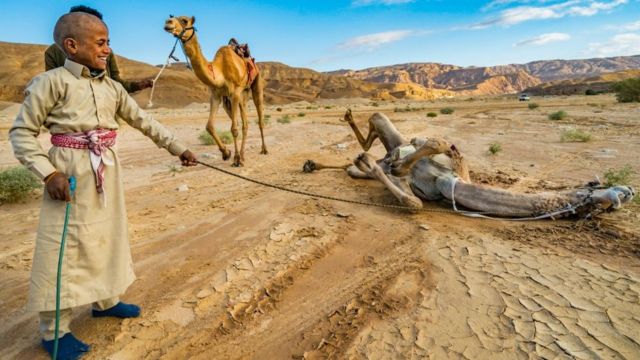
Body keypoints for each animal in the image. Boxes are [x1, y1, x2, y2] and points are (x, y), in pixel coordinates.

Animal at [165, 14, 268, 166]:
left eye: (184, 20)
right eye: (172, 17)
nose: (168, 22)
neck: (220, 71)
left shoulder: (234, 93)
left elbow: (234, 128)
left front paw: (236, 159)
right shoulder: (216, 95)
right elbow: (210, 126)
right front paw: (227, 153)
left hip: (256, 84)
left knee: (259, 118)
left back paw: (263, 150)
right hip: (241, 95)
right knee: (245, 123)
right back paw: (243, 155)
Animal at [304, 109, 636, 218]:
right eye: (608, 189)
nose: (631, 190)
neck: (452, 185)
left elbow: (413, 202)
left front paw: (372, 164)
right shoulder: (454, 167)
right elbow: (437, 143)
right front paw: (400, 160)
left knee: (362, 158)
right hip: (387, 133)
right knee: (376, 122)